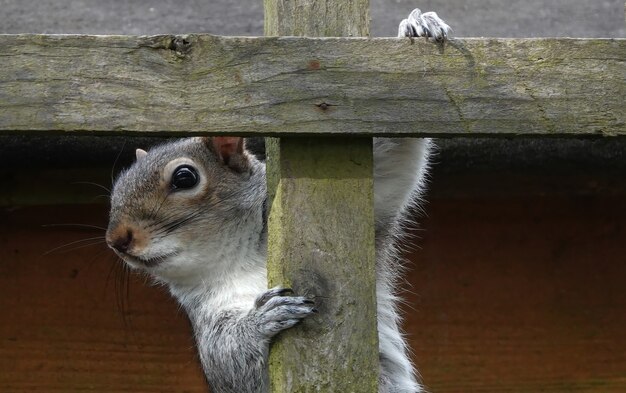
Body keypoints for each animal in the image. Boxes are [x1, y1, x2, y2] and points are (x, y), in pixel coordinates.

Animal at [106, 9, 448, 392]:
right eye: (117, 186)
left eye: (185, 177)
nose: (116, 239)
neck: (235, 261)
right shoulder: (211, 319)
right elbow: (233, 365)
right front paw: (262, 319)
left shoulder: (372, 212)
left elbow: (395, 162)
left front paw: (418, 28)